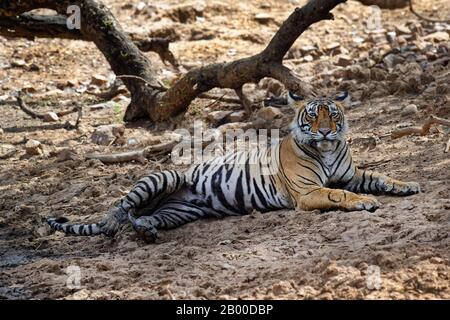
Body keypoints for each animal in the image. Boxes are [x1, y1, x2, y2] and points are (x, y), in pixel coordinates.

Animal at [47, 92, 420, 242]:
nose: (326, 131)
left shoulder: (351, 174)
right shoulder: (308, 192)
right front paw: (366, 202)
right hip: (162, 177)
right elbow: (338, 194)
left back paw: (146, 230)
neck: (327, 150)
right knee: (119, 208)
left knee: (141, 217)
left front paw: (406, 185)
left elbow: (377, 175)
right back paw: (115, 226)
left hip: (177, 212)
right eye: (313, 115)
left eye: (334, 115)